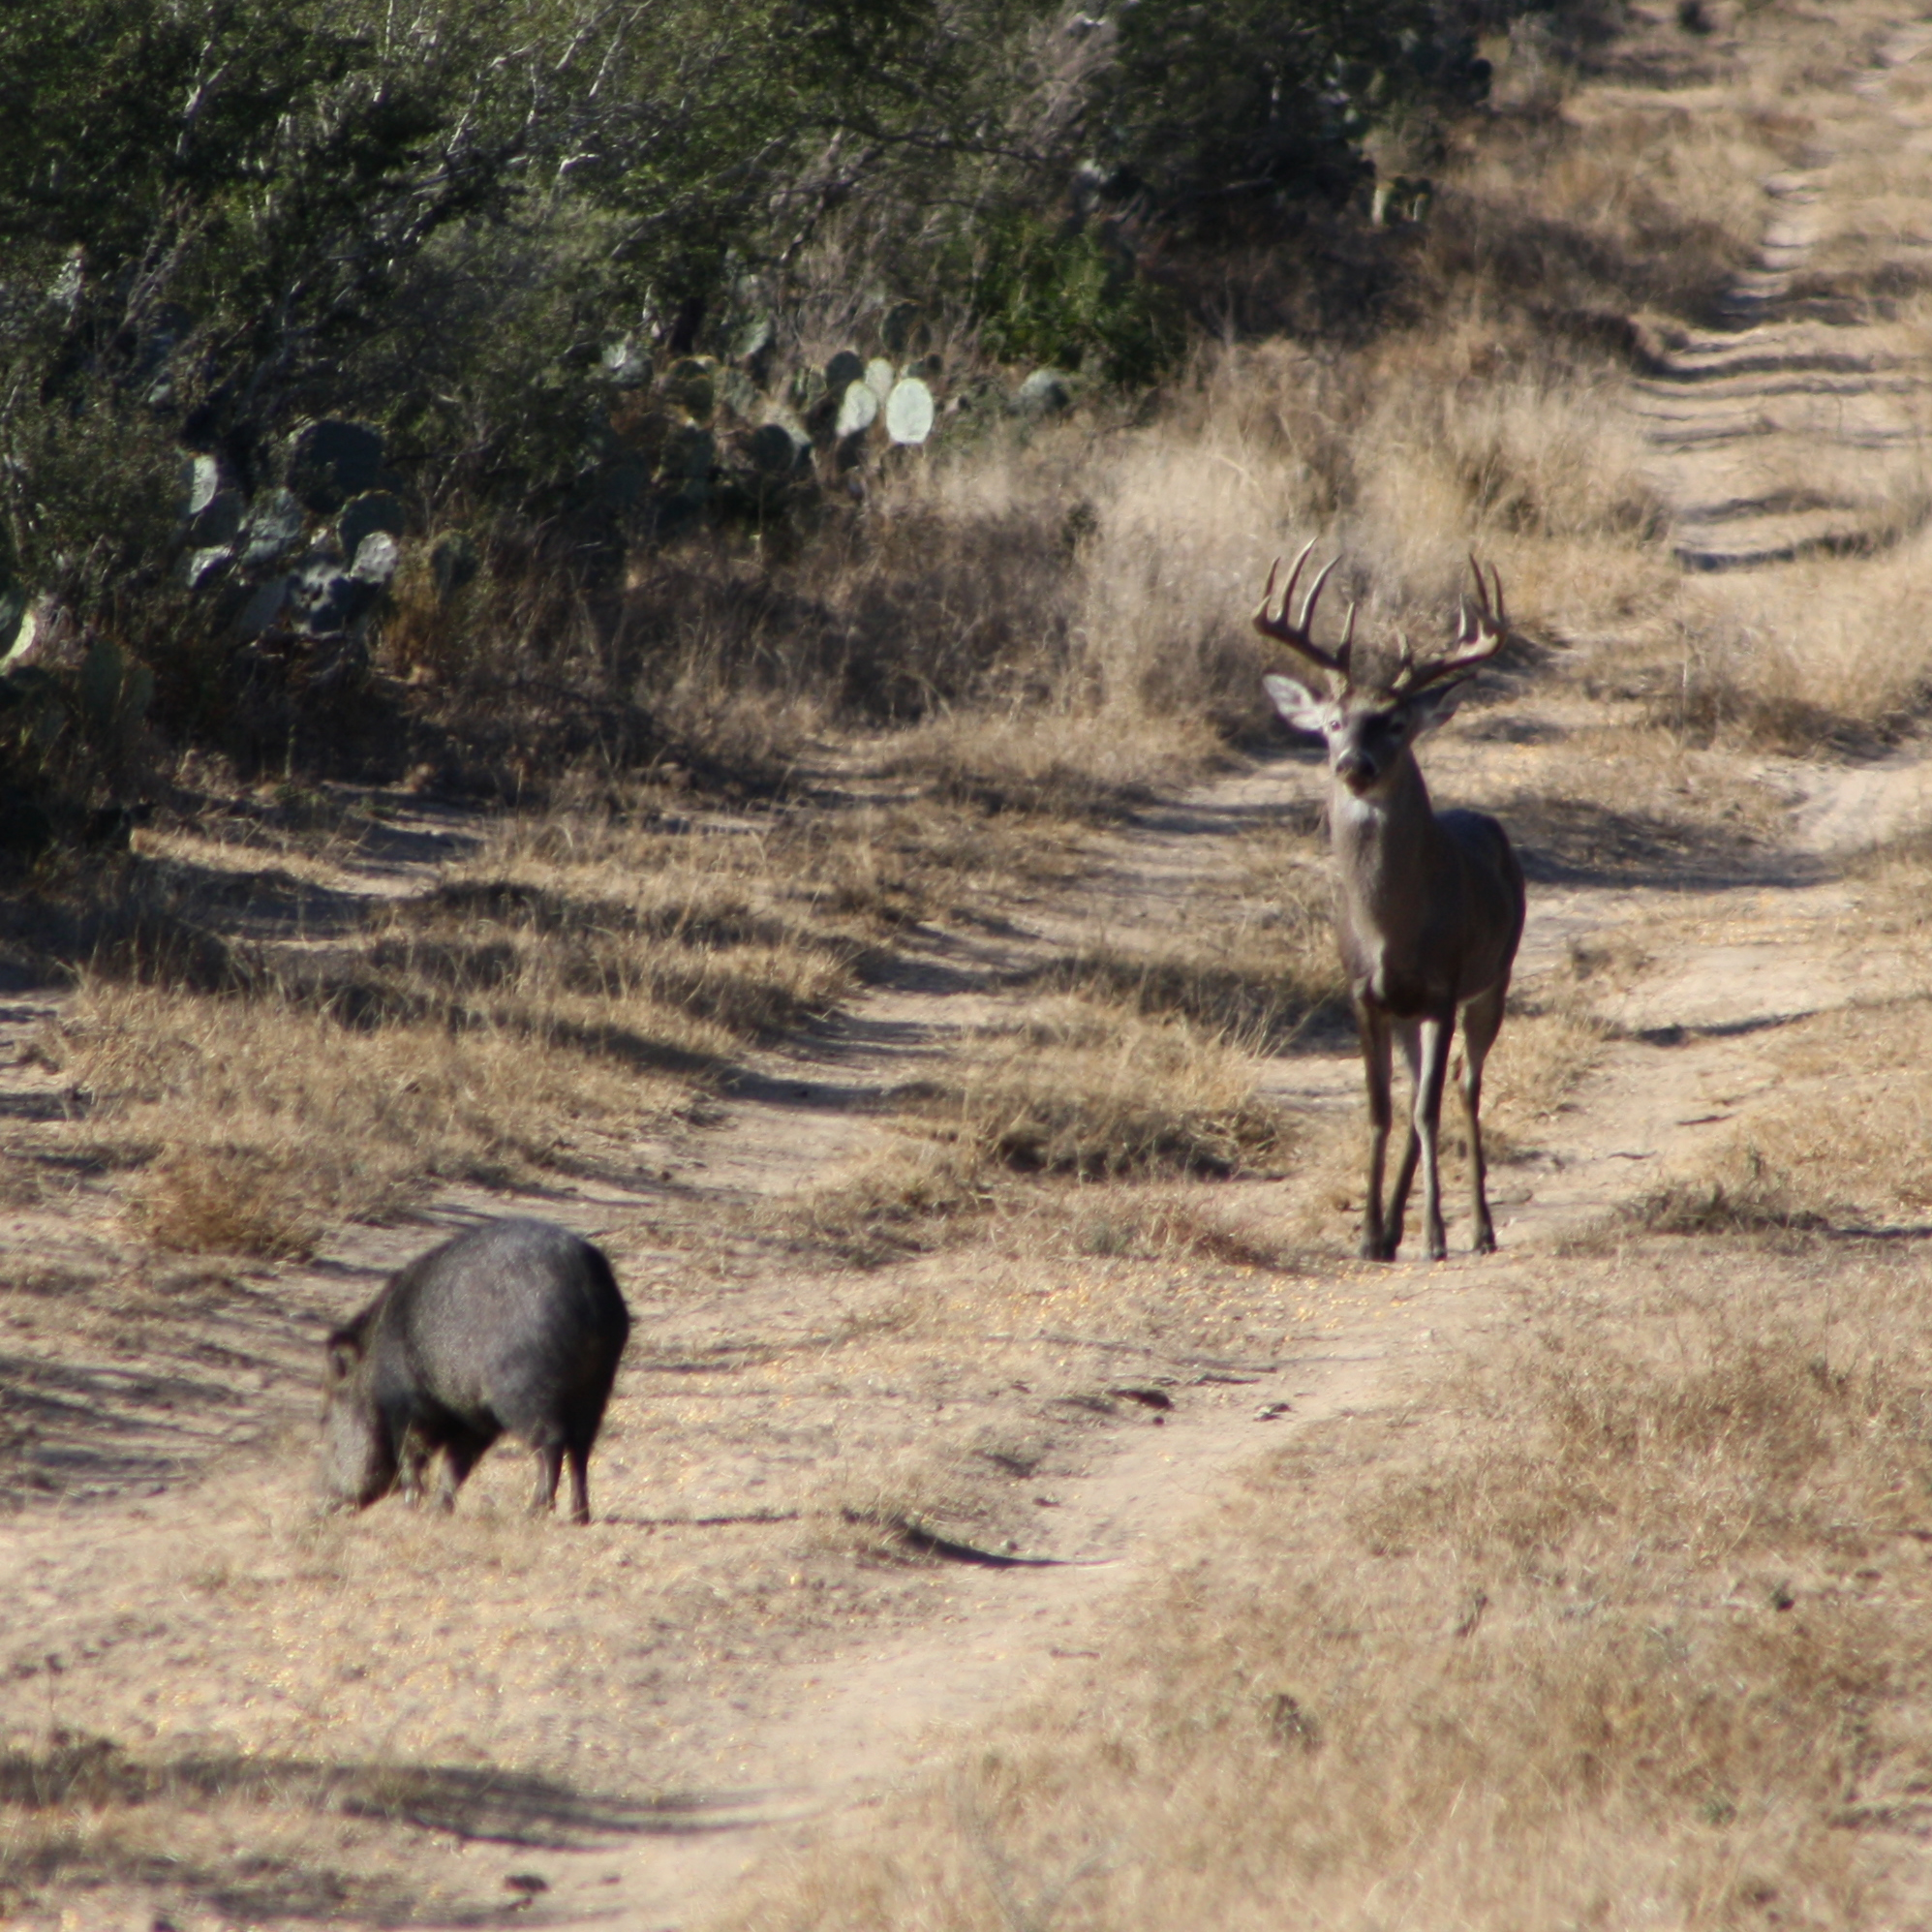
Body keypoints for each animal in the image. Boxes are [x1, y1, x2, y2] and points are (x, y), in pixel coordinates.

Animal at [1254, 541, 1525, 1261]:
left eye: (1396, 723)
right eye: (1332, 722)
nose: (1354, 763)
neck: (1391, 932)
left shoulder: (1440, 988)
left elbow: (1428, 1109)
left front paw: (1435, 1235)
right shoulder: (1364, 993)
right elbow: (1380, 1109)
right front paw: (1368, 1234)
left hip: (1493, 979)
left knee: (1463, 1087)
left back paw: (1479, 1228)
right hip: (1410, 1013)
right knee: (1417, 1094)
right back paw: (1393, 1228)